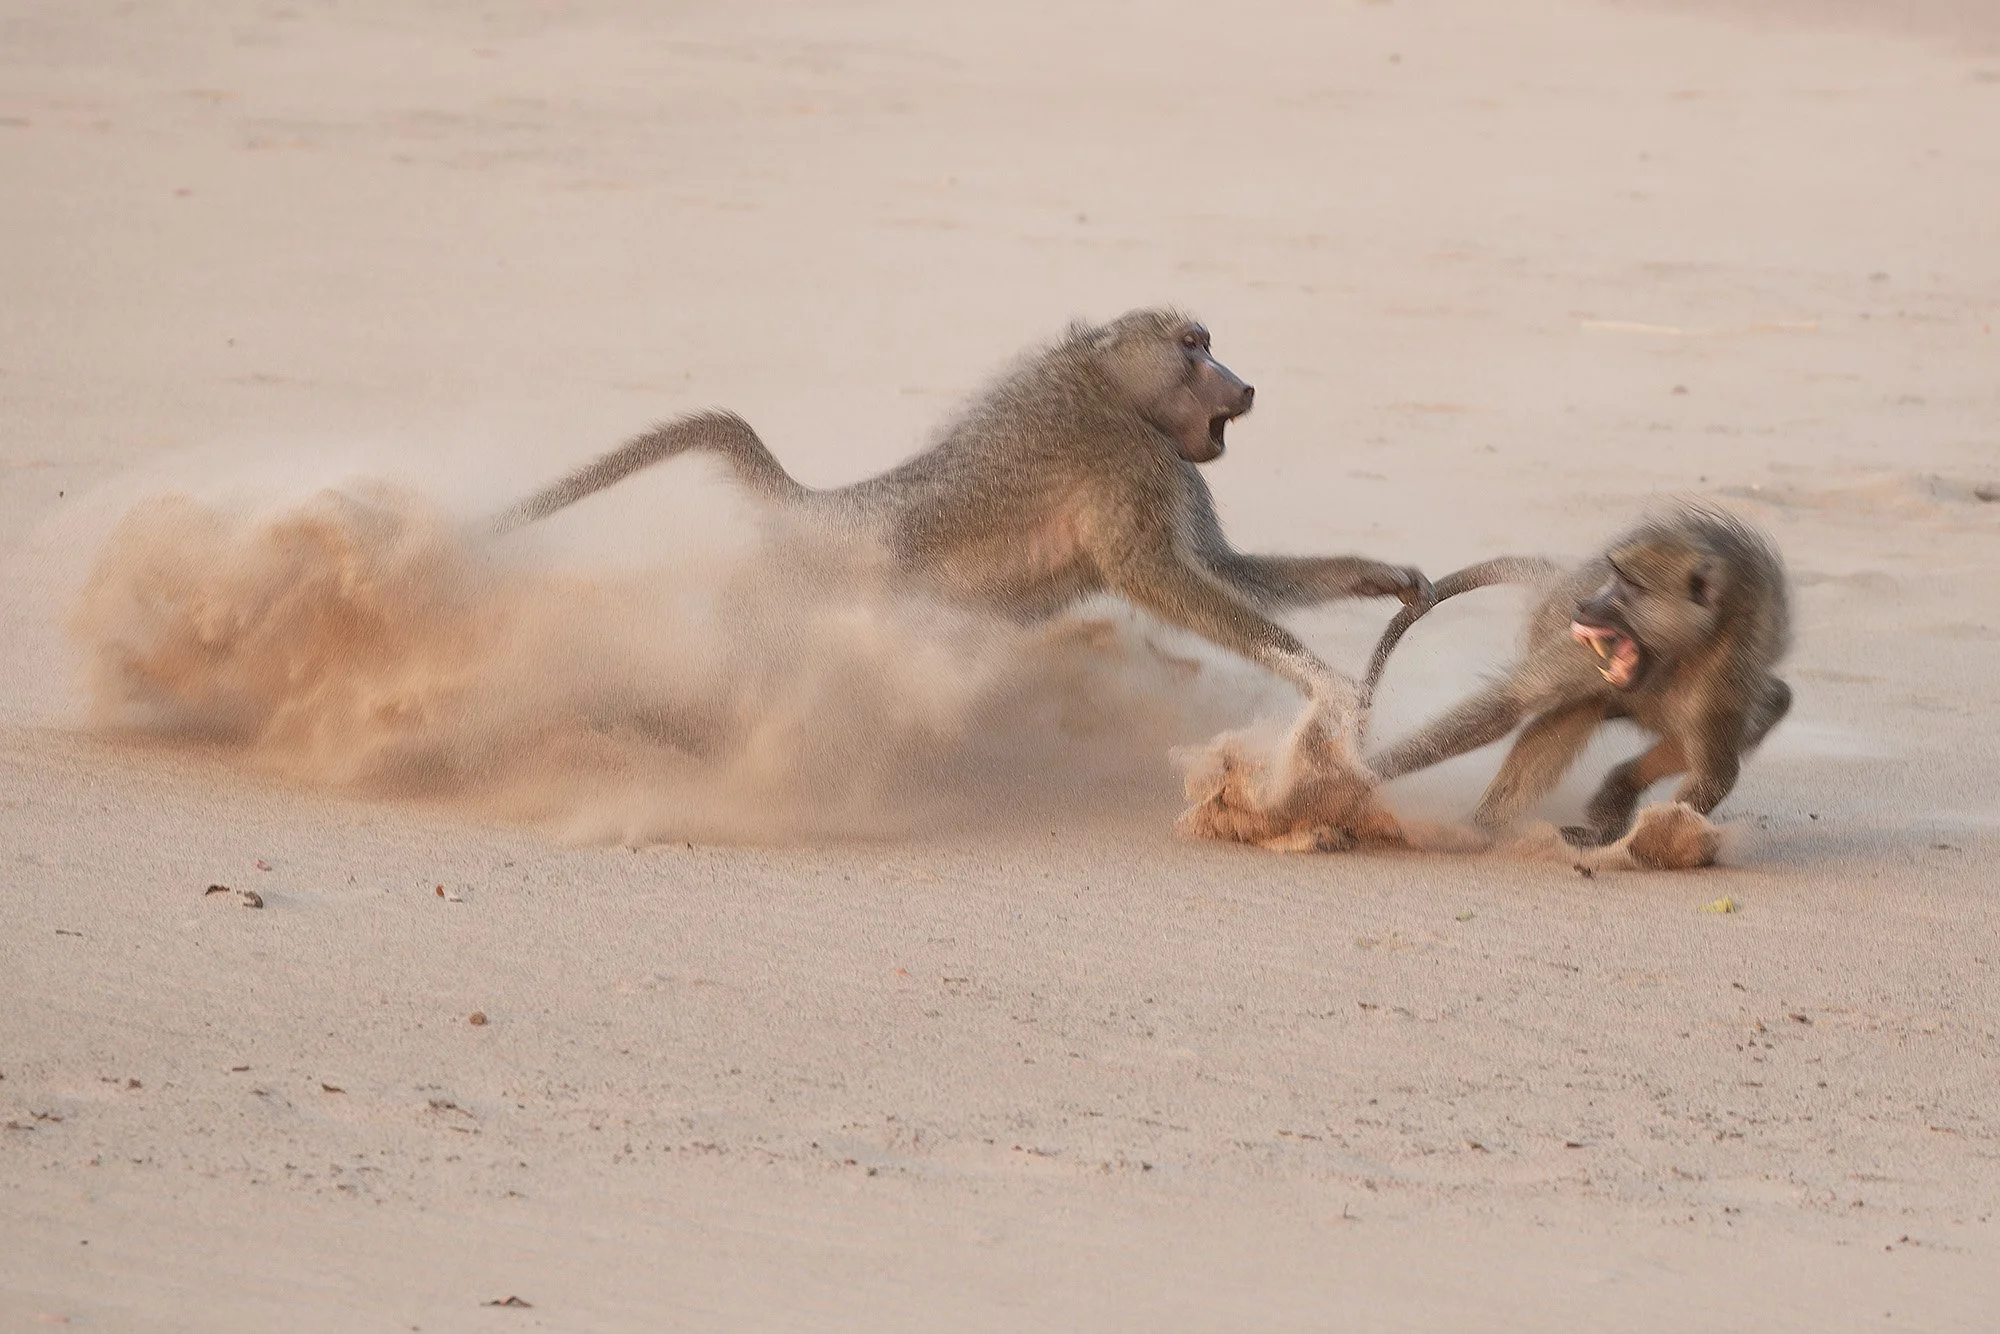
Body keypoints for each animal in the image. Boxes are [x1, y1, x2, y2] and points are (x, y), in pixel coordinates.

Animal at [490, 309, 1430, 731]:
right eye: (1193, 346)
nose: (1243, 385)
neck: (1112, 388)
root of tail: (829, 508)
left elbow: (1217, 567)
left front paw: (1380, 577)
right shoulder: (1128, 460)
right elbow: (1155, 574)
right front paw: (1326, 681)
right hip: (796, 599)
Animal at [1362, 505, 1791, 847]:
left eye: (1631, 586)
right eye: (1614, 577)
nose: (1586, 605)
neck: (1671, 652)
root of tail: (1563, 584)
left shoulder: (1728, 666)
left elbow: (1714, 772)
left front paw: (1659, 842)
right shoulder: (1587, 647)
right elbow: (1508, 704)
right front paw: (1358, 776)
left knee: (1772, 704)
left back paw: (1616, 793)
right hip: (1555, 628)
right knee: (1574, 708)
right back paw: (1484, 826)